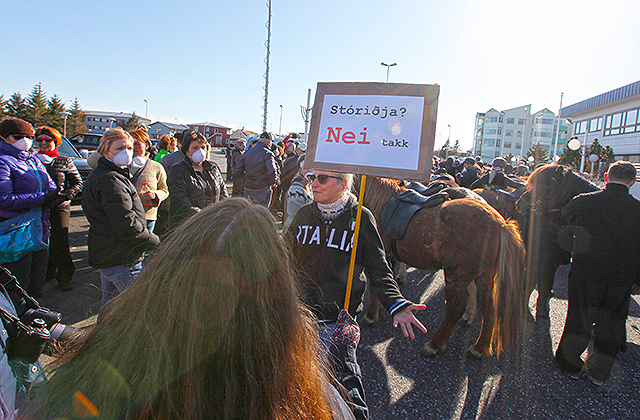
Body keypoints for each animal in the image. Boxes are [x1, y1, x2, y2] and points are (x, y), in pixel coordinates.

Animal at [356, 177, 524, 358]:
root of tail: (501, 225)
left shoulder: (378, 255)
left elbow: (375, 286)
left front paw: (371, 316)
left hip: (456, 276)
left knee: (455, 309)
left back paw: (434, 344)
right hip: (484, 275)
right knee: (489, 308)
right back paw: (479, 347)